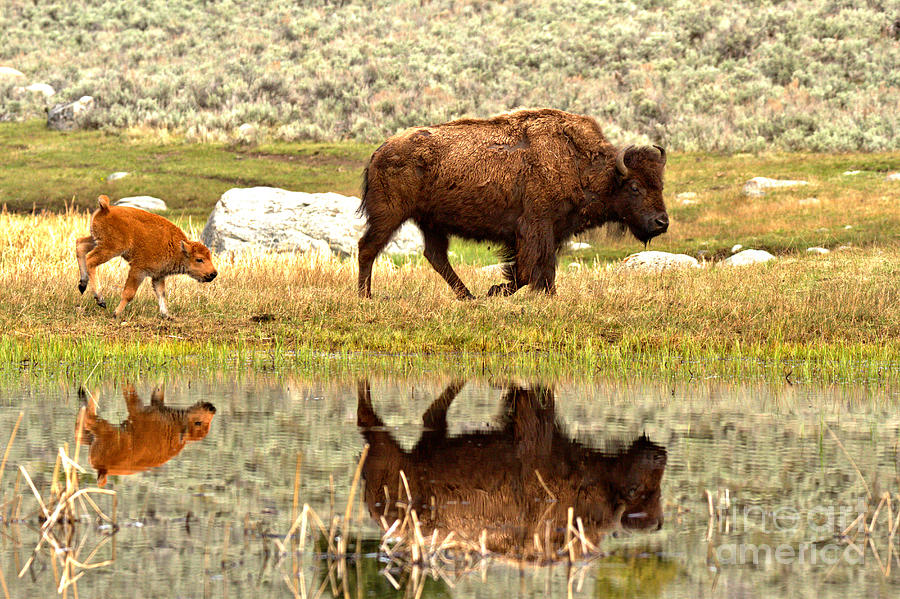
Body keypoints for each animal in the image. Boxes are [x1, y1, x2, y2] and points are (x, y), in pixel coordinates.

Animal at [76, 196, 218, 318]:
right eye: (199, 259)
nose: (213, 273)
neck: (177, 248)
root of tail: (106, 208)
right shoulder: (138, 270)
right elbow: (129, 293)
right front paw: (116, 314)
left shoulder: (158, 276)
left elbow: (161, 294)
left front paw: (167, 315)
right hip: (110, 248)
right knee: (90, 260)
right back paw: (100, 299)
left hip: (96, 240)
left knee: (80, 245)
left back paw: (82, 284)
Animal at [77, 384, 216, 488]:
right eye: (198, 423)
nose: (212, 409)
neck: (176, 427)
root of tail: (103, 469)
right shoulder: (144, 408)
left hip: (102, 431)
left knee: (86, 421)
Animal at [356, 382, 664, 560]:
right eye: (635, 489)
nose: (659, 455)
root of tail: (375, 510)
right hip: (387, 454)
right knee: (370, 420)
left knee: (430, 417)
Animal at [358, 108, 668, 300]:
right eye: (635, 186)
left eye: (660, 185)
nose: (661, 222)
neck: (581, 164)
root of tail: (379, 151)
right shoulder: (534, 228)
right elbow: (528, 271)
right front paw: (497, 290)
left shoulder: (551, 232)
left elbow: (543, 269)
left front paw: (548, 295)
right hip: (390, 214)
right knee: (368, 247)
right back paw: (366, 296)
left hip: (432, 222)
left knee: (435, 256)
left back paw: (468, 297)